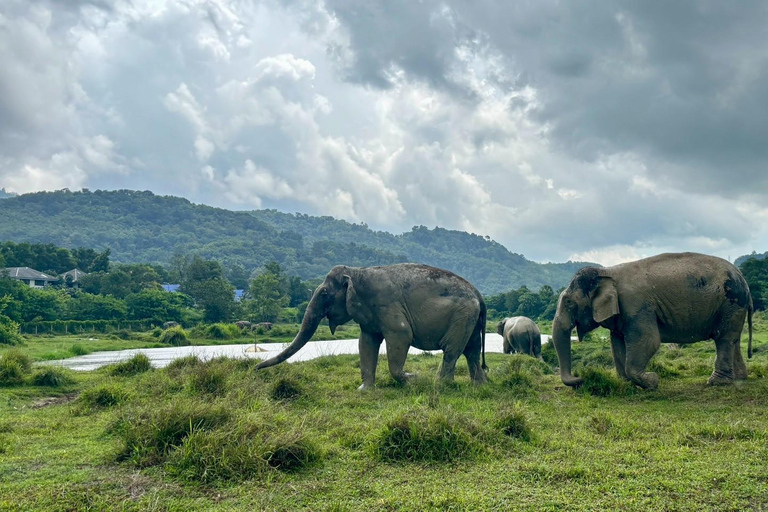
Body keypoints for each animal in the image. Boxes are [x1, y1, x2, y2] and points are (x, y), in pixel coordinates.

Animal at [256, 263, 488, 389]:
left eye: (324, 294)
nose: (254, 368)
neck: (357, 272)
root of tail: (478, 294)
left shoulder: (387, 304)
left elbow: (401, 335)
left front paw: (413, 379)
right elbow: (366, 343)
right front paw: (364, 389)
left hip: (463, 315)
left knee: (452, 349)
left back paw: (439, 385)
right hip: (470, 319)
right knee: (471, 350)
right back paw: (478, 385)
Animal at [552, 252, 753, 391]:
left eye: (569, 303)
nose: (580, 379)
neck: (607, 271)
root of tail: (744, 280)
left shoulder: (636, 306)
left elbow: (649, 341)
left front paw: (653, 381)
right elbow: (617, 344)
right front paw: (627, 384)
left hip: (730, 302)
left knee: (723, 338)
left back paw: (716, 382)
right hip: (733, 307)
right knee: (733, 339)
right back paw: (740, 378)